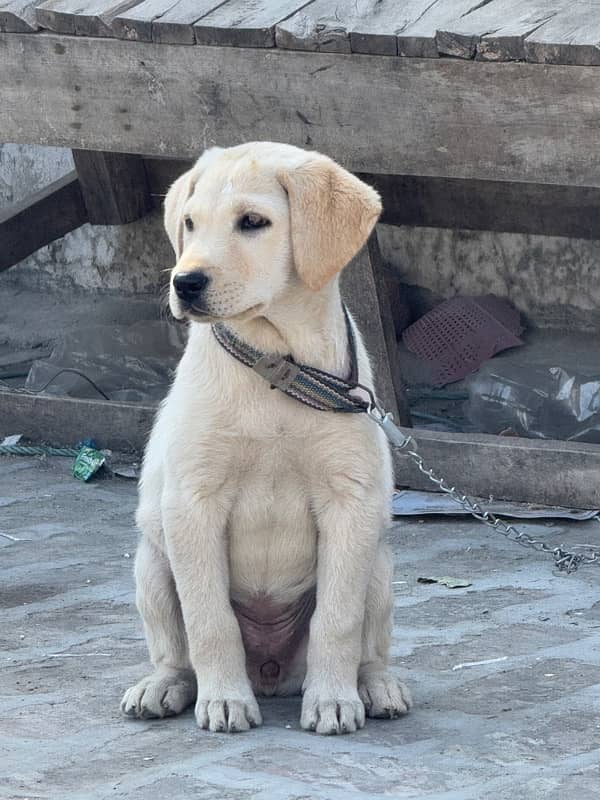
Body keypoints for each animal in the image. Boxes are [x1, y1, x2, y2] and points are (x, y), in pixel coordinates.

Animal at [122, 142, 412, 732]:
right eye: (190, 223)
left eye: (252, 222)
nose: (184, 283)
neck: (278, 363)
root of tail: (273, 672)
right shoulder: (192, 502)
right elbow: (209, 620)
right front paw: (225, 699)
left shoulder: (350, 502)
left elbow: (337, 621)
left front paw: (332, 700)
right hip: (153, 563)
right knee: (175, 651)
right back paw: (165, 686)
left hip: (377, 562)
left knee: (368, 646)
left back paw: (376, 685)